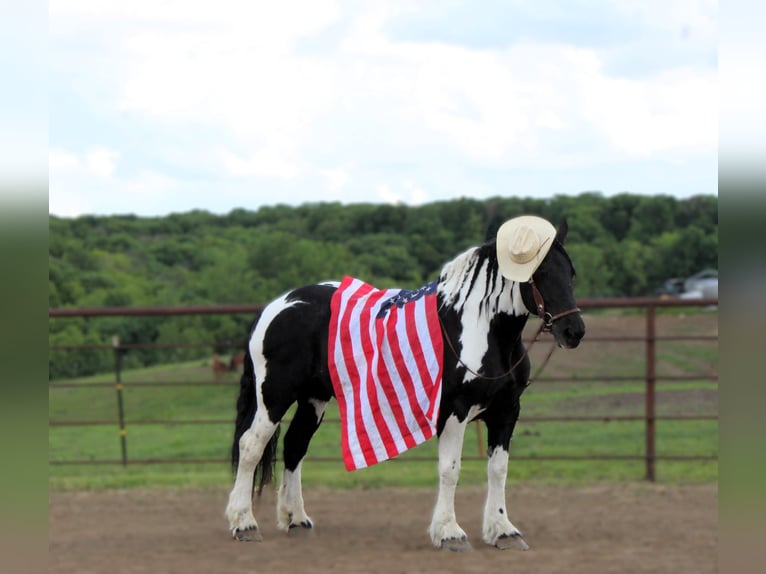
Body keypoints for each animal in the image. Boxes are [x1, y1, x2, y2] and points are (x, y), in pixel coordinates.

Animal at [225, 217, 585, 551]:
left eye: (570, 272)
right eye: (539, 274)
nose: (574, 331)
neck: (480, 330)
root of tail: (276, 306)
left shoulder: (506, 412)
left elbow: (498, 470)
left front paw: (504, 530)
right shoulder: (455, 412)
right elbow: (450, 470)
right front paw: (450, 533)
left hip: (313, 399)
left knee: (294, 446)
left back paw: (296, 519)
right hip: (273, 397)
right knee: (251, 446)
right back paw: (244, 523)